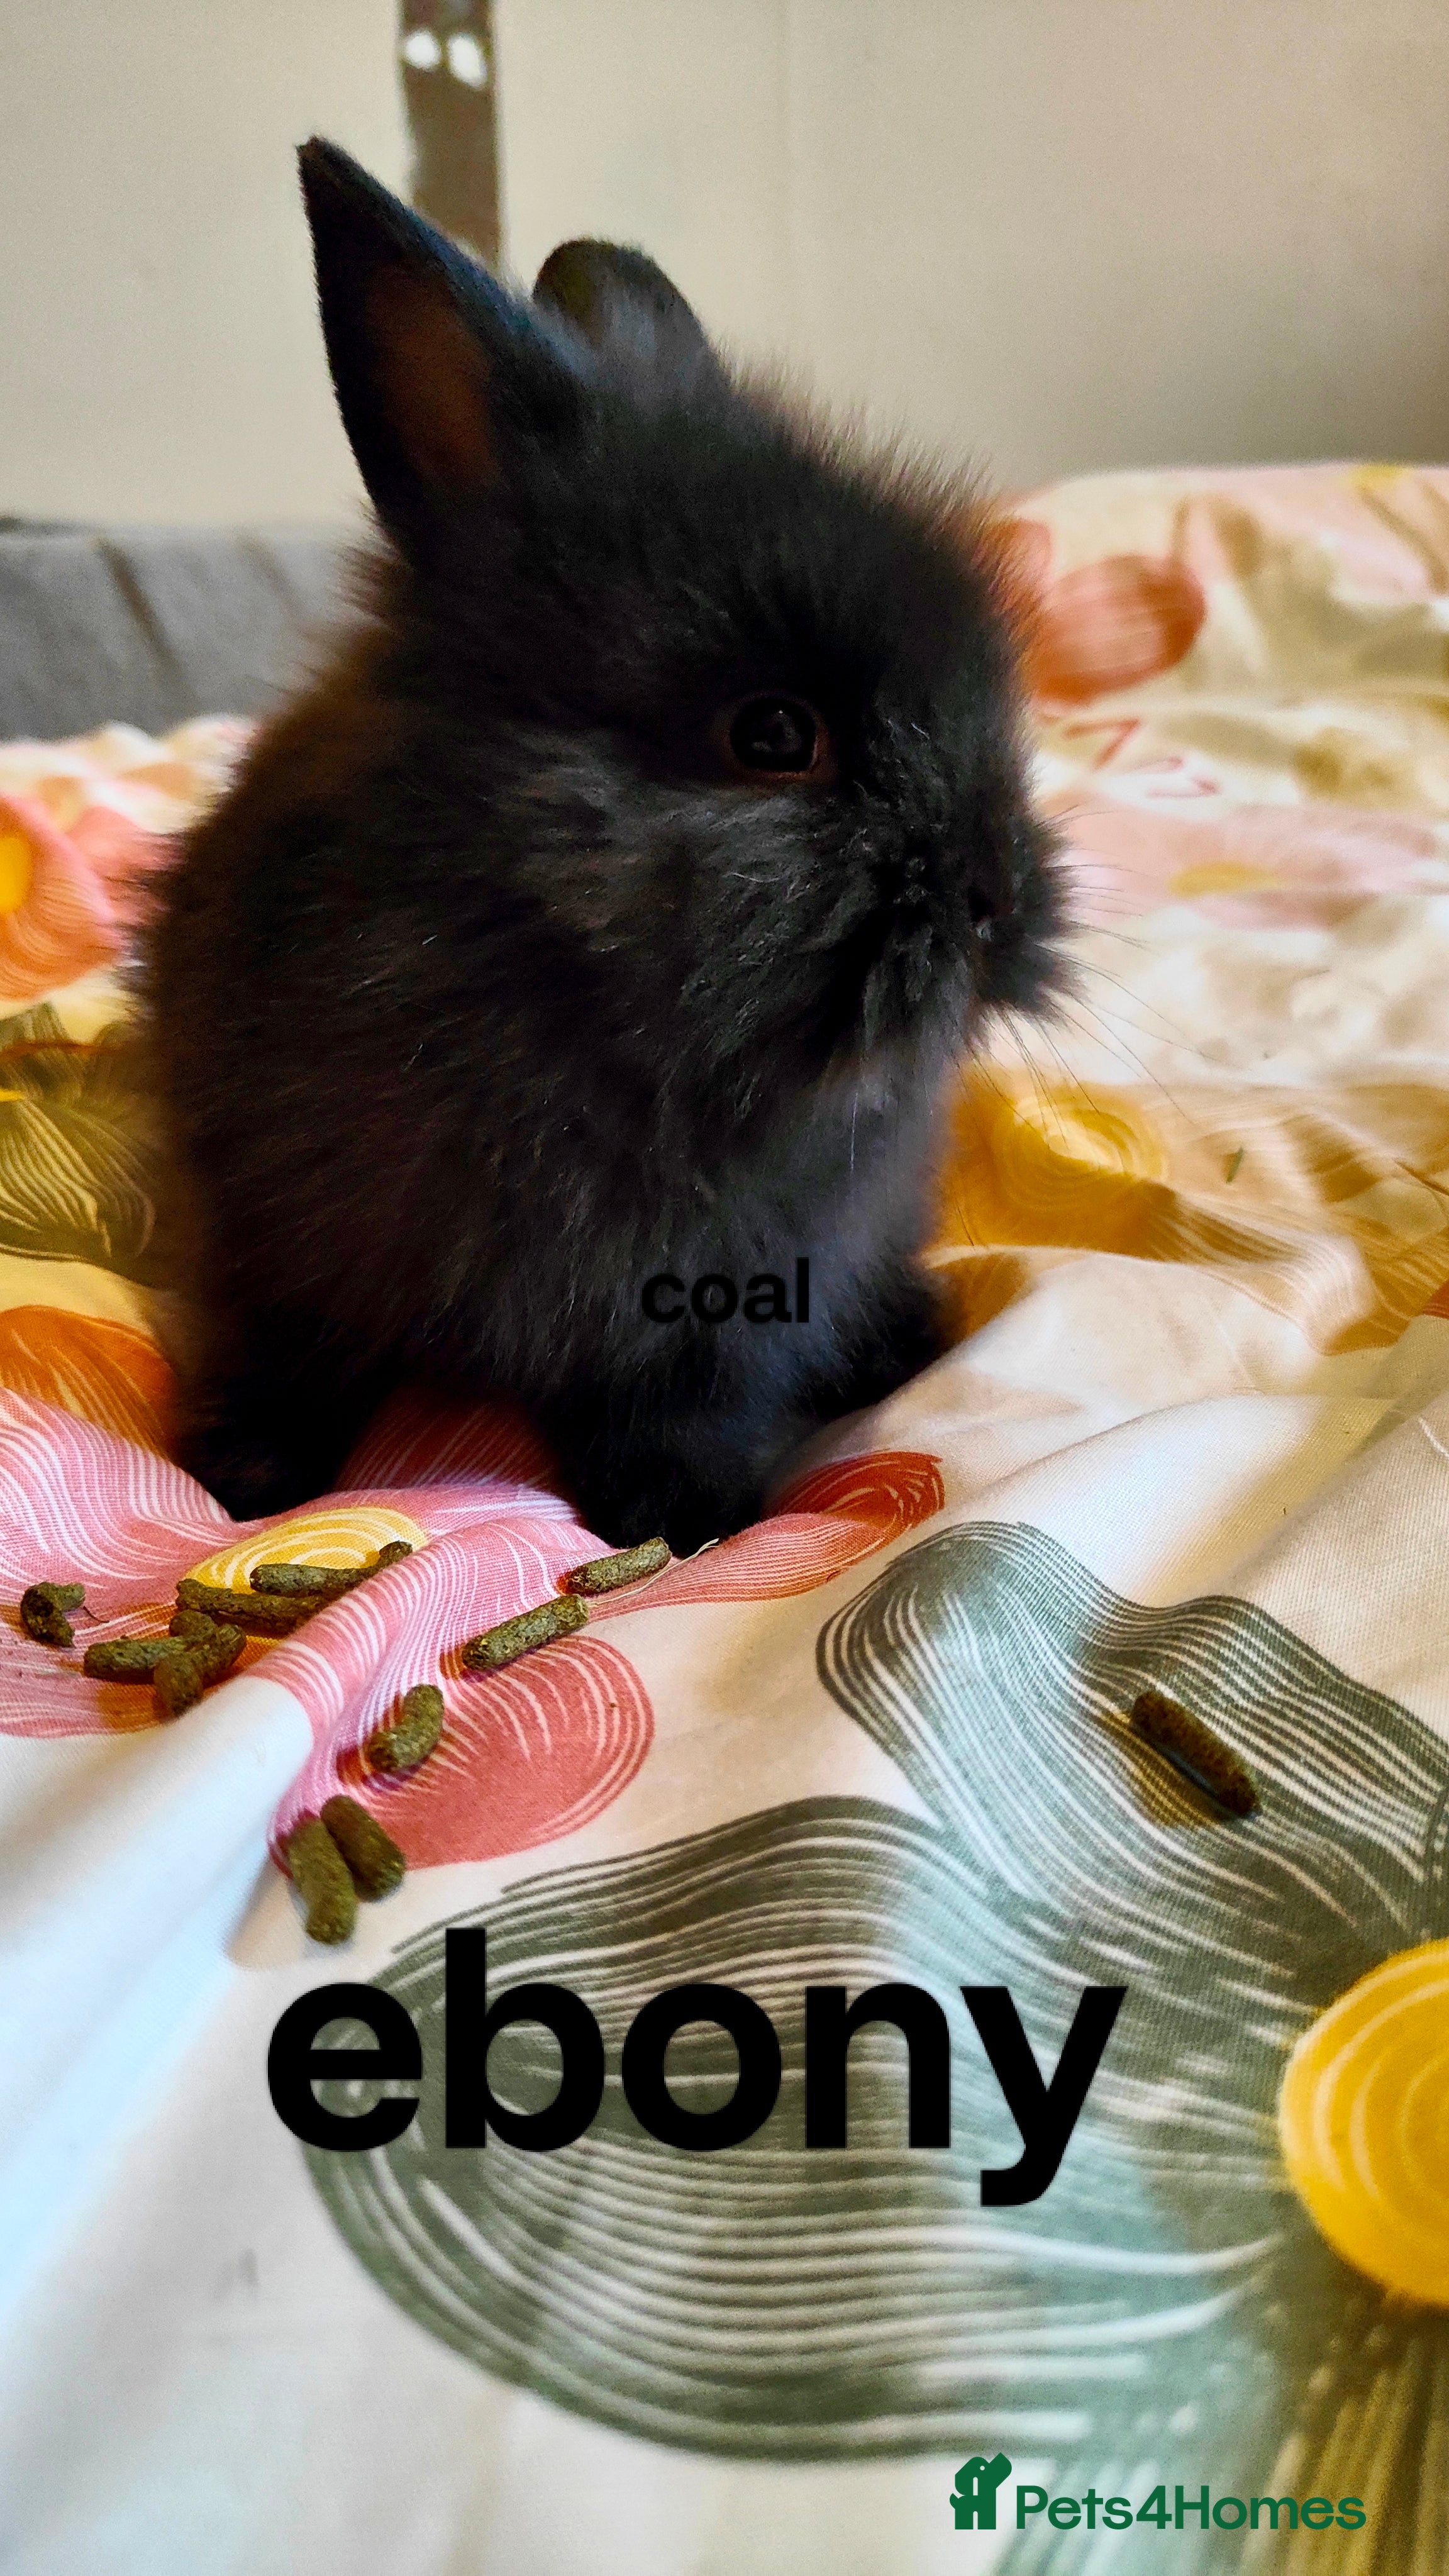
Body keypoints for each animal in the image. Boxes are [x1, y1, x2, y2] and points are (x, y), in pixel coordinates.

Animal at [145, 138, 1062, 1557]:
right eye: (774, 733)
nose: (994, 897)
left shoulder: (734, 1298)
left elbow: (688, 1406)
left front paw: (691, 1522)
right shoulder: (264, 1239)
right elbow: (283, 1359)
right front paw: (243, 1487)